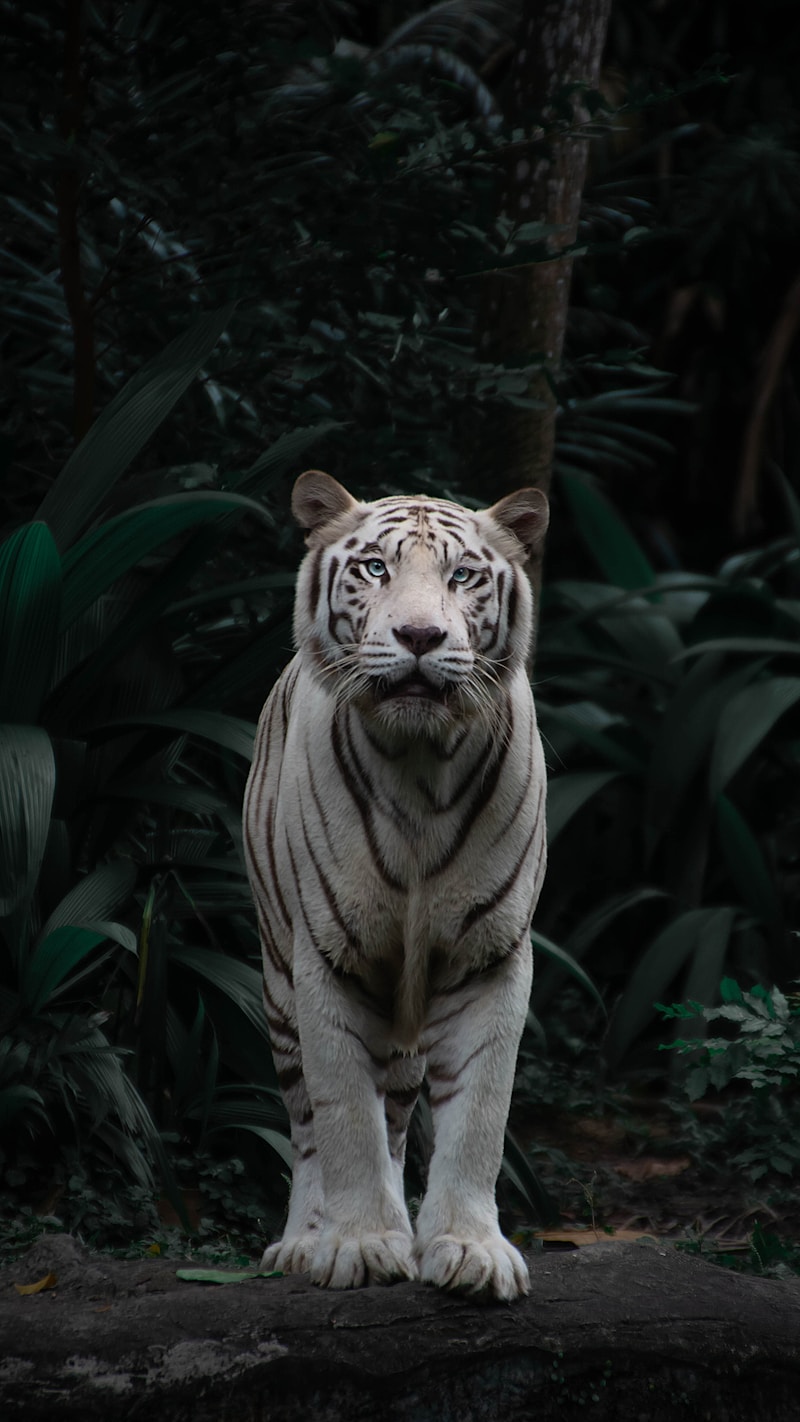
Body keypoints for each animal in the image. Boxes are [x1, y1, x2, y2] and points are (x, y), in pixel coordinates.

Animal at [242, 469, 549, 1301]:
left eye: (463, 575)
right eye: (376, 568)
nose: (419, 637)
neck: (419, 767)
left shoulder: (490, 958)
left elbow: (479, 1116)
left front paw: (469, 1249)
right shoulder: (327, 958)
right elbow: (345, 1116)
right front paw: (359, 1244)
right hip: (277, 983)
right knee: (308, 1124)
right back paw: (303, 1242)